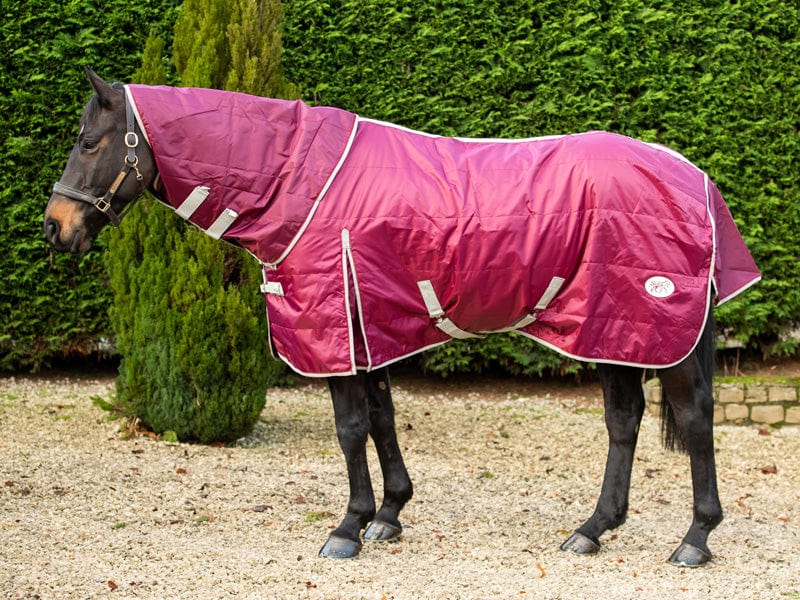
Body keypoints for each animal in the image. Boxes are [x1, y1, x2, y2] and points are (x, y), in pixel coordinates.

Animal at [45, 68, 759, 567]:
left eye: (88, 142)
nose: (55, 228)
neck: (301, 180)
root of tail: (694, 177)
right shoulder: (371, 324)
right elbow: (383, 419)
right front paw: (389, 514)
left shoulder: (336, 325)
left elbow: (350, 428)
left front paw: (348, 527)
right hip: (613, 331)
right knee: (623, 422)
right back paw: (591, 530)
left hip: (653, 328)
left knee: (694, 419)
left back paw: (694, 539)